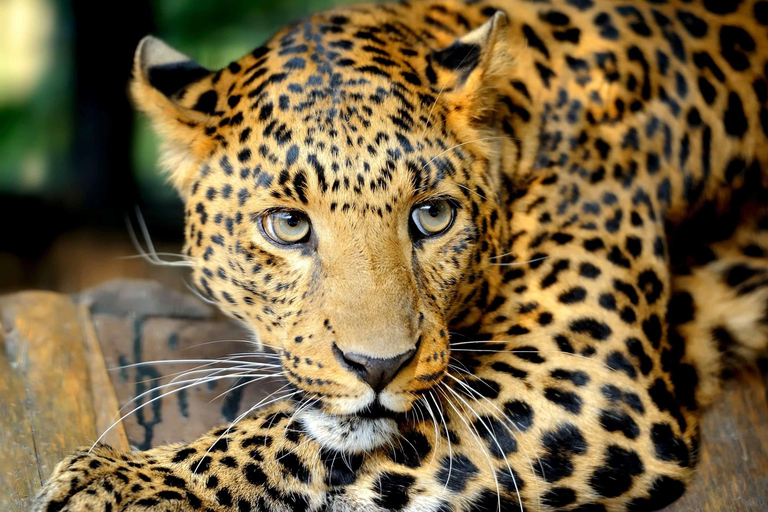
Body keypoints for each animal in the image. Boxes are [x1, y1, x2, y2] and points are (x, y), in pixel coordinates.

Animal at [33, 0, 768, 511]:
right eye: (288, 225)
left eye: (432, 215)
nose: (378, 366)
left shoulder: (588, 376)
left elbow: (297, 433)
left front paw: (136, 479)